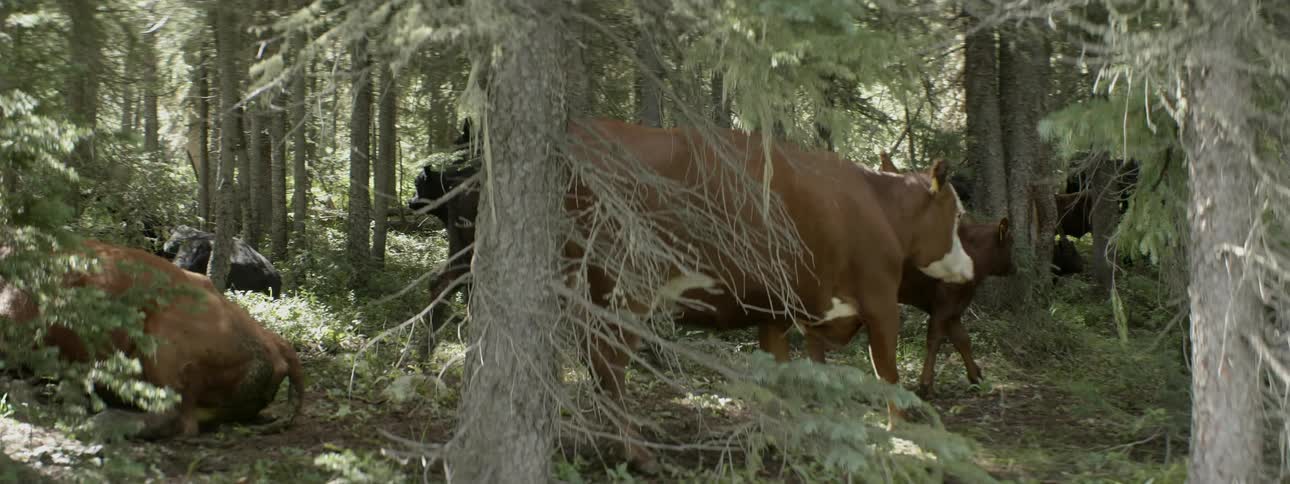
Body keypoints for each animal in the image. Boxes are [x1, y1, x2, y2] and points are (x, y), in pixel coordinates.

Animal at [413, 119, 973, 472]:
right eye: (958, 213)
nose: (968, 268)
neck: (878, 208)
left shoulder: (780, 312)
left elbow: (788, 381)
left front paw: (788, 433)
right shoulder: (880, 301)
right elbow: (887, 374)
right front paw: (902, 437)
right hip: (630, 280)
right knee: (606, 358)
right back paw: (637, 453)